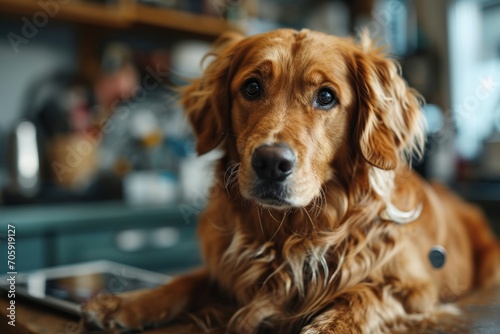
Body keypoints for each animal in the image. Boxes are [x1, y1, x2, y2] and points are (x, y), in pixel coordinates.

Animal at [82, 29, 500, 334]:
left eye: (326, 96)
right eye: (251, 87)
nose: (270, 162)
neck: (291, 235)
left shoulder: (418, 291)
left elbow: (361, 296)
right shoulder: (227, 270)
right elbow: (185, 282)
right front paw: (126, 303)